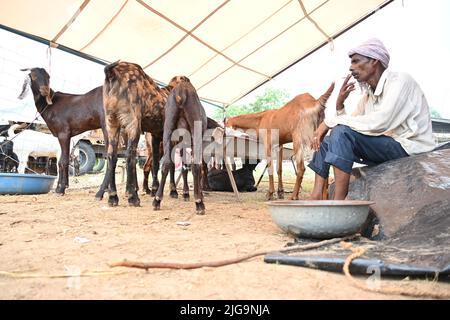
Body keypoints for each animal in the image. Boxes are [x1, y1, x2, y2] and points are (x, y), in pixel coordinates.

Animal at [152, 77, 207, 215]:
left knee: (166, 163)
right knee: (196, 165)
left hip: (168, 129)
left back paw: (157, 200)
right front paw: (193, 194)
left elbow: (182, 167)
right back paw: (199, 203)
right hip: (195, 131)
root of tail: (181, 92)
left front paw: (185, 192)